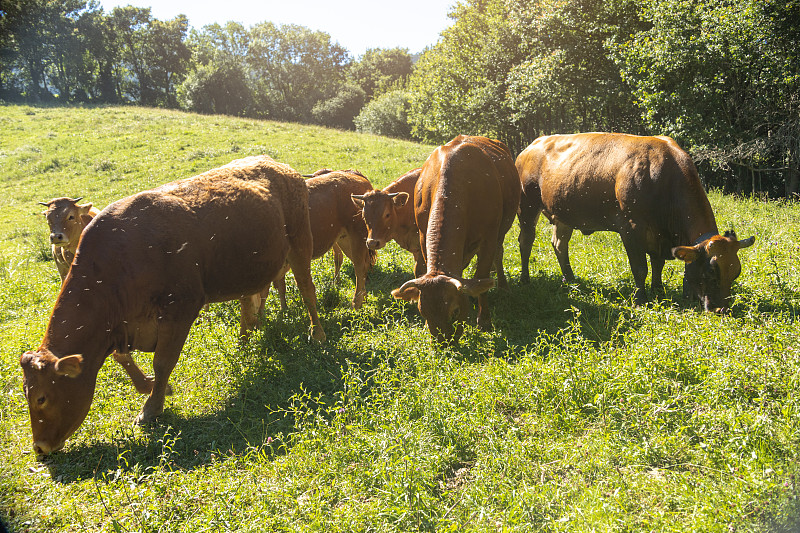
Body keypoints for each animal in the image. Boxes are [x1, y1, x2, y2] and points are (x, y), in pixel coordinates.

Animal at [19, 156, 324, 456]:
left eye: (42, 397)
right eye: (25, 393)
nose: (39, 447)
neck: (119, 260)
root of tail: (279, 166)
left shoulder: (180, 308)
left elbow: (163, 361)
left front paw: (151, 408)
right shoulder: (121, 324)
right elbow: (122, 357)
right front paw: (150, 387)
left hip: (300, 242)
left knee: (307, 289)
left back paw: (317, 334)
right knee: (249, 306)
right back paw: (243, 345)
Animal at [245, 166, 376, 320]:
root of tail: (360, 179)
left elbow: (267, 291)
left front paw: (263, 316)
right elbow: (278, 287)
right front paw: (282, 310)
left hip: (356, 239)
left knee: (360, 268)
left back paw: (356, 304)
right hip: (344, 240)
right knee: (360, 265)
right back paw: (363, 298)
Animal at [392, 135, 520, 342]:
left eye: (456, 311)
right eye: (423, 312)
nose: (443, 343)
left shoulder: (489, 238)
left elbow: (481, 275)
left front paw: (484, 320)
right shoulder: (423, 236)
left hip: (501, 232)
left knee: (498, 255)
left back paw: (503, 285)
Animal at [516, 131, 752, 312]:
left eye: (736, 272)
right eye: (711, 272)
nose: (721, 309)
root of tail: (532, 146)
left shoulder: (659, 236)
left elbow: (658, 263)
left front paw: (658, 289)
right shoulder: (631, 227)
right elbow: (639, 267)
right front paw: (641, 299)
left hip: (563, 213)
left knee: (559, 244)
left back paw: (570, 278)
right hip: (527, 206)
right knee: (526, 241)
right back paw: (525, 279)